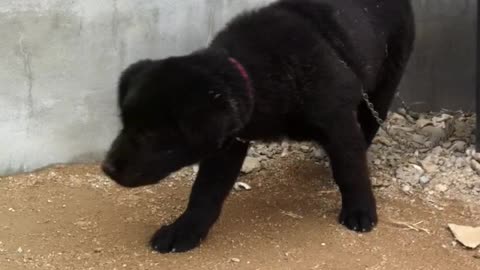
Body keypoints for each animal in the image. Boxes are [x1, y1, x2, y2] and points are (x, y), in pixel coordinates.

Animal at [102, 0, 416, 253]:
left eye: (149, 134)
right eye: (124, 123)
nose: (106, 168)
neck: (259, 74)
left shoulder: (337, 122)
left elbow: (351, 170)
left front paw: (360, 210)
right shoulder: (228, 143)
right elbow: (205, 191)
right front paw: (185, 230)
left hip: (382, 88)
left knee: (367, 129)